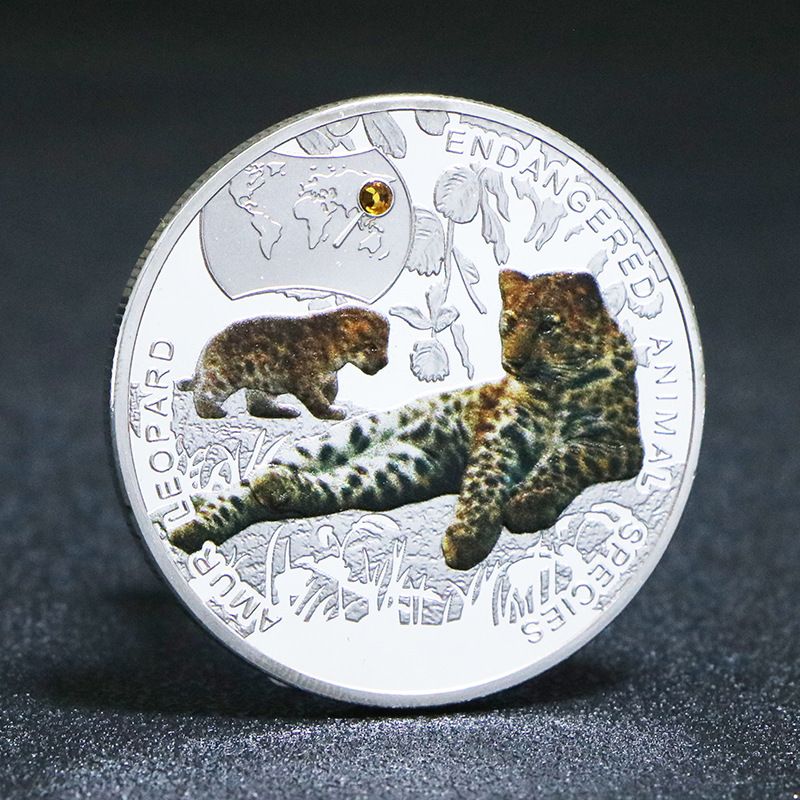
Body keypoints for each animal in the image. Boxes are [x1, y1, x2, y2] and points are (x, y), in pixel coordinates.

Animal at [176, 306, 389, 420]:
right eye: (372, 347)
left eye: (386, 344)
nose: (385, 362)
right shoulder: (304, 380)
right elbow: (318, 400)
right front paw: (333, 412)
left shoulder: (329, 377)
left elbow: (331, 389)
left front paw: (332, 401)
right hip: (220, 377)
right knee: (204, 392)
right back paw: (214, 411)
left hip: (262, 385)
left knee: (258, 406)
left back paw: (288, 410)